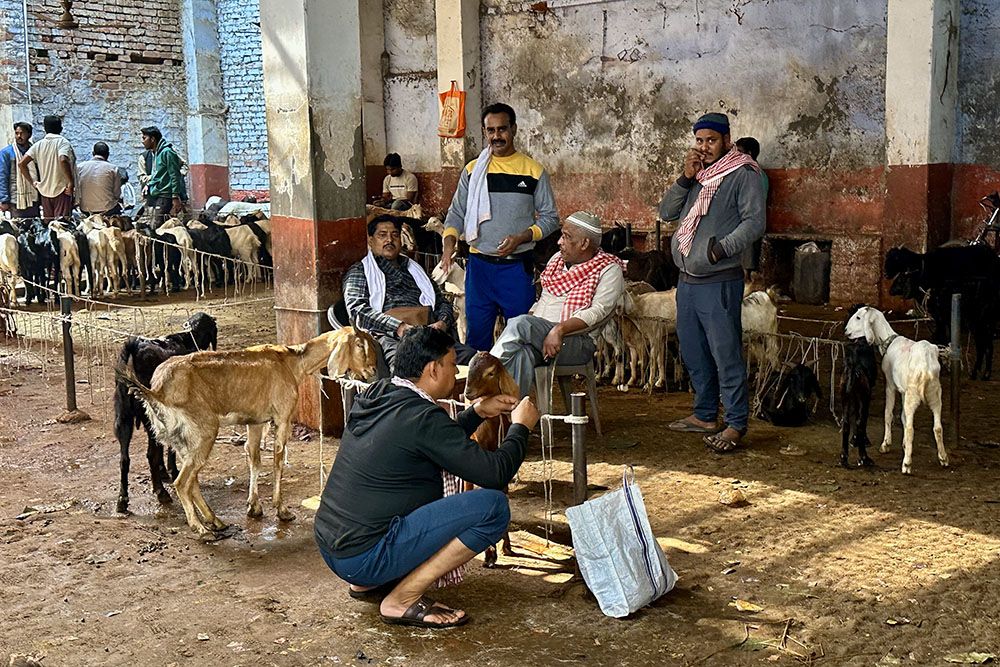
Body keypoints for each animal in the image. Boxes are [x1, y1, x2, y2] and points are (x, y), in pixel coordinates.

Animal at [114, 310, 218, 516]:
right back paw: (161, 493)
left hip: (124, 418)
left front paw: (164, 471)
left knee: (124, 459)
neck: (186, 339)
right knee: (150, 455)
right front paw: (172, 471)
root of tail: (134, 353)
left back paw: (122, 500)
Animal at [117, 328, 380, 536]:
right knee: (182, 482)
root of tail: (157, 390)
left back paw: (215, 521)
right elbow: (277, 459)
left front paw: (254, 507)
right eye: (360, 345)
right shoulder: (282, 417)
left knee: (191, 480)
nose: (373, 370)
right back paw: (201, 528)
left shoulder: (255, 422)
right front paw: (282, 510)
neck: (292, 363)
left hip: (181, 440)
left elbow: (254, 458)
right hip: (203, 432)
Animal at [464, 352, 520, 568]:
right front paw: (489, 553)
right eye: (470, 366)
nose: (468, 392)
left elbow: (503, 494)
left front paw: (505, 546)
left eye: (490, 372)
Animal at [844, 308, 944, 474]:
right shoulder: (903, 390)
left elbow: (888, 413)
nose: (846, 331)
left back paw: (906, 464)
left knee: (910, 429)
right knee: (937, 427)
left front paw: (886, 444)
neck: (888, 341)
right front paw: (903, 444)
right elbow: (902, 416)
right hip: (935, 394)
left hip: (913, 395)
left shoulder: (890, 385)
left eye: (858, 317)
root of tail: (926, 366)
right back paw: (943, 458)